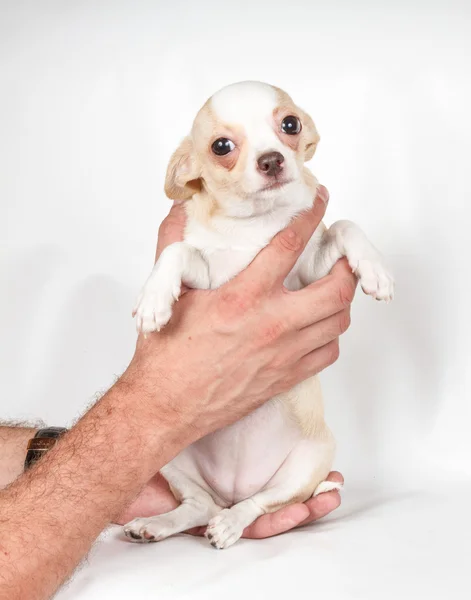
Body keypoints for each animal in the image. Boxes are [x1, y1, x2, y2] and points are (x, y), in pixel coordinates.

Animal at [122, 81, 394, 548]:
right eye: (222, 146)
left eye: (290, 124)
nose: (271, 159)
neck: (255, 224)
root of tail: (231, 490)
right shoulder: (208, 278)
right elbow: (179, 250)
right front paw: (155, 298)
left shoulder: (310, 272)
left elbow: (345, 225)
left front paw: (375, 269)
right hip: (171, 454)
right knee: (197, 504)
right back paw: (156, 524)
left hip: (306, 464)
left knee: (258, 504)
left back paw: (229, 524)